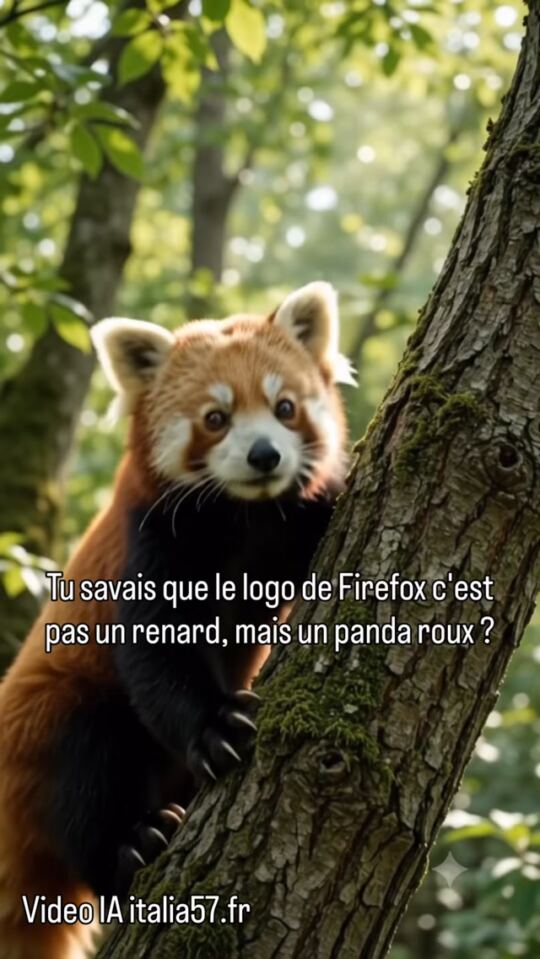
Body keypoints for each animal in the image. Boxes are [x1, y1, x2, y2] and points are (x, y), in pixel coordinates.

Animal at [0, 282, 354, 958]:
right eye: (216, 418)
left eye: (285, 407)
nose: (264, 455)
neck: (244, 516)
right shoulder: (151, 540)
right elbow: (155, 653)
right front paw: (216, 727)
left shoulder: (292, 525)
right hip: (50, 719)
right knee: (84, 772)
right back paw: (130, 848)